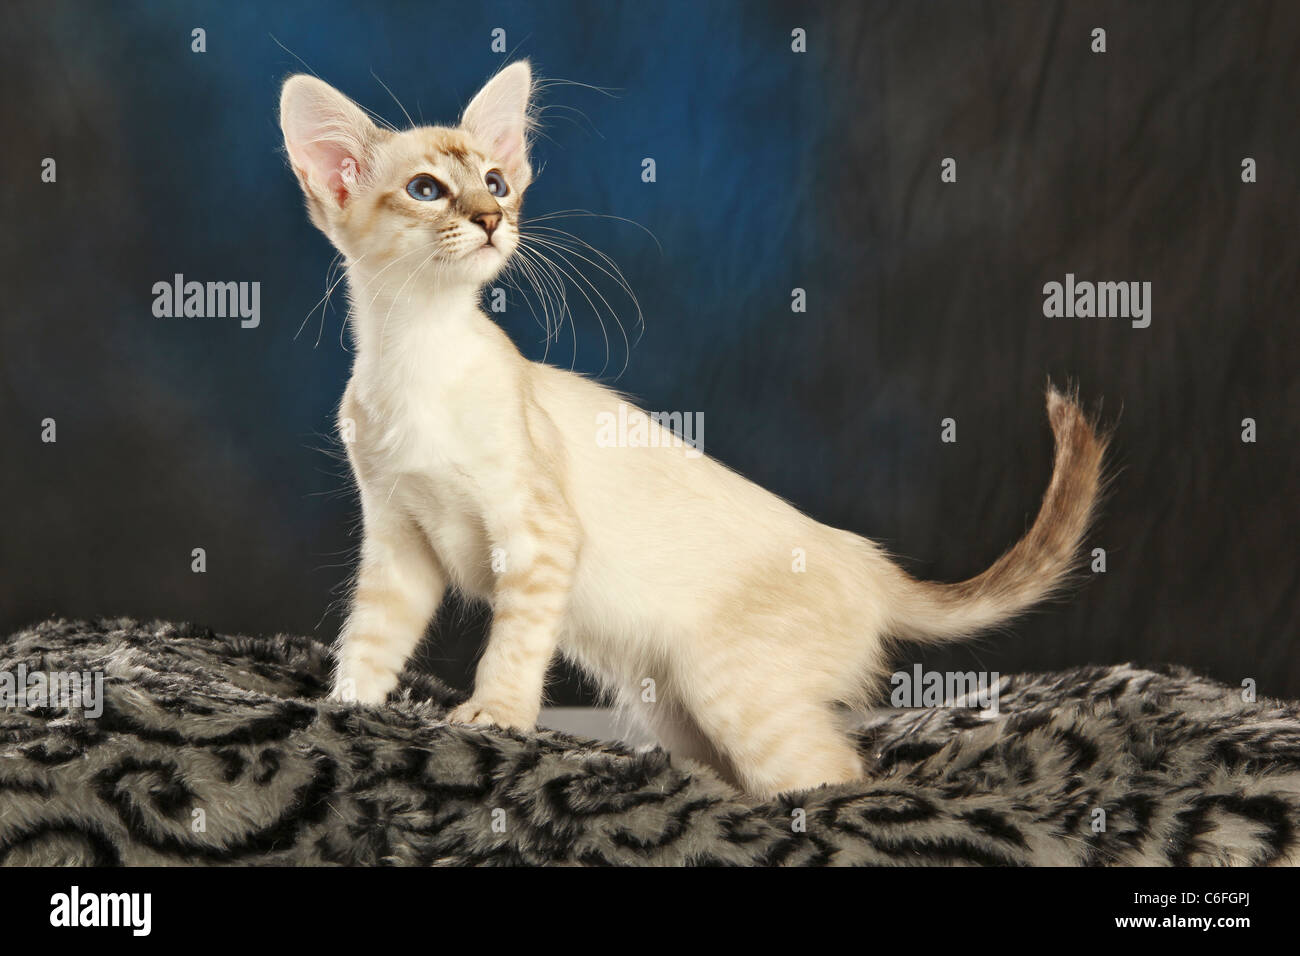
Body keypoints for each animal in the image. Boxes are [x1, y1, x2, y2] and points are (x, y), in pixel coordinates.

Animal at [279, 63, 1102, 801]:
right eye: (427, 190)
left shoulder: (539, 536)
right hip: (670, 703)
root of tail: (867, 563)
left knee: (837, 782)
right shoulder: (399, 542)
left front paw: (496, 716)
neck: (418, 354)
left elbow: (510, 649)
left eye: (497, 182)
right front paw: (343, 710)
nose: (491, 220)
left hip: (729, 690)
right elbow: (371, 639)